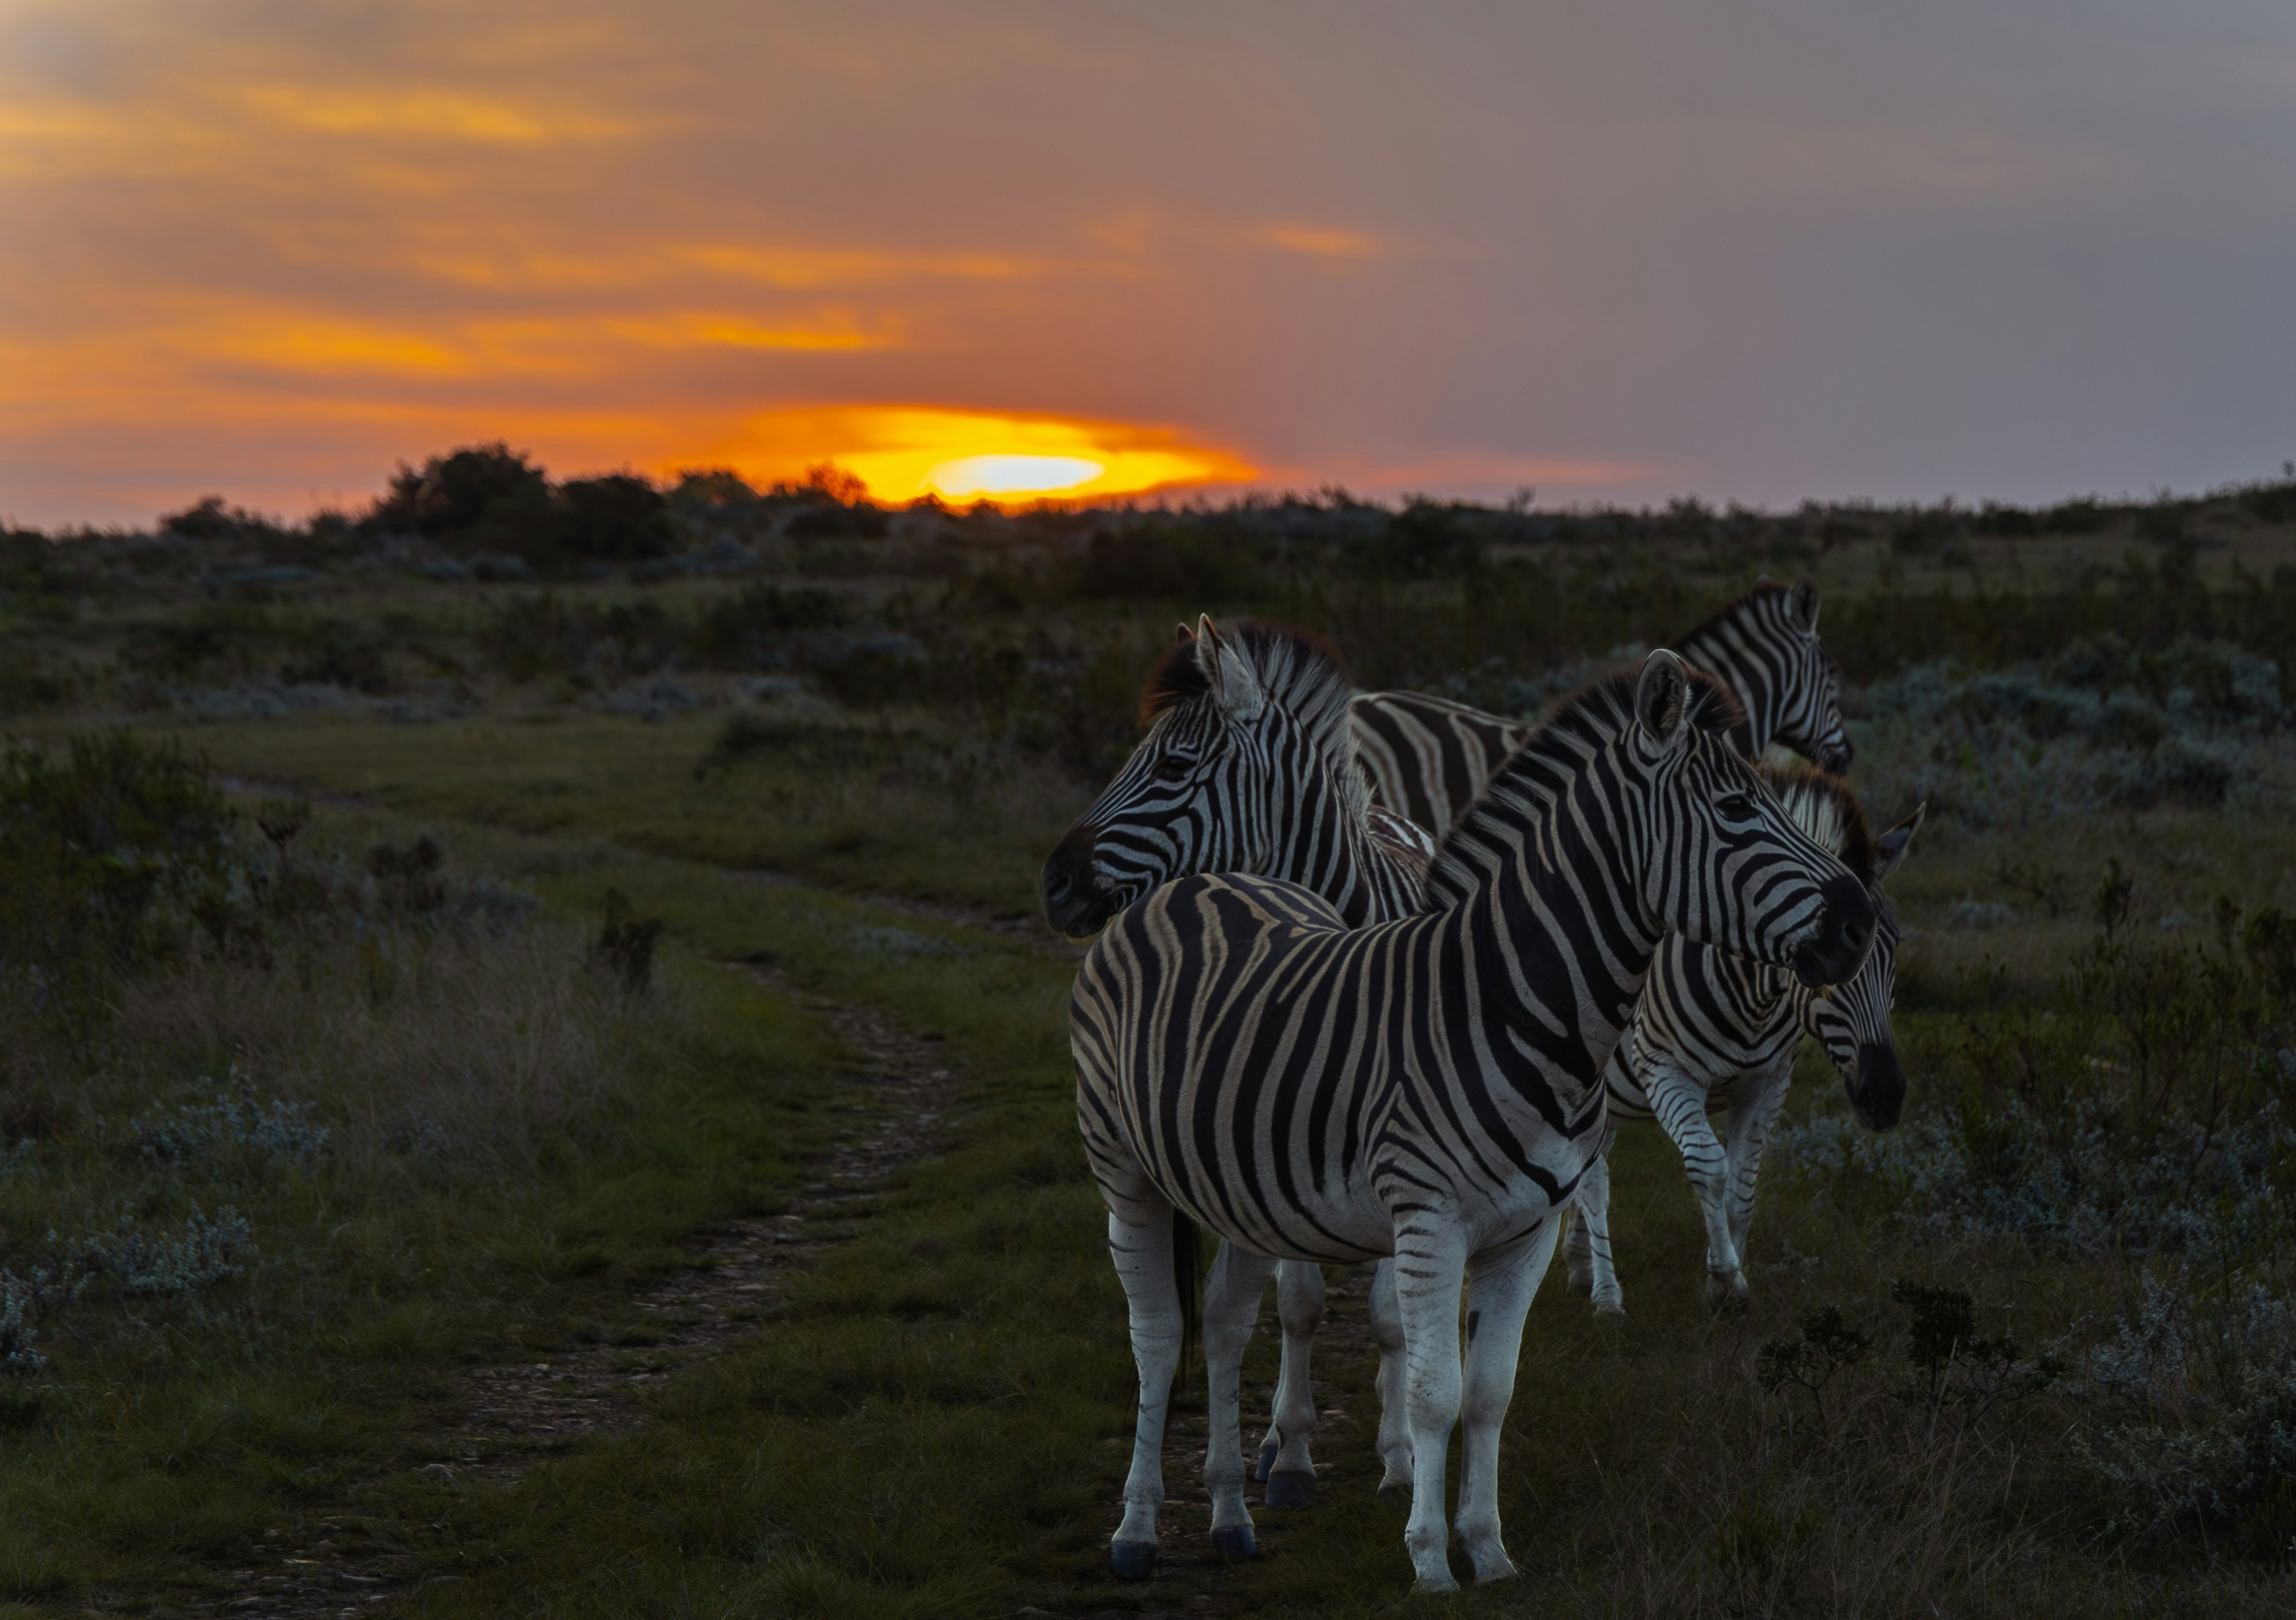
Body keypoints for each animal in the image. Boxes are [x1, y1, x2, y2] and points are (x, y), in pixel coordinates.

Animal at [1041, 616, 1431, 1515]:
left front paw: (1399, 1454)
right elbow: (1299, 1304)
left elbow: (1392, 1314)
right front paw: (1288, 1453)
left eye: (1174, 767)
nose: (1055, 882)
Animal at [1070, 651, 1876, 1590]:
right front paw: (1427, 1560)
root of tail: (1199, 877)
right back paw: (1136, 1530)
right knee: (1159, 1336)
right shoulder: (1428, 1221)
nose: (1858, 920)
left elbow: (1489, 1392)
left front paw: (1487, 1551)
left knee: (1227, 1321)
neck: (1506, 1003)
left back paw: (1233, 1515)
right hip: (1122, 1167)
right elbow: (1434, 1390)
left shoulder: (1525, 1232)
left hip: (1237, 1185)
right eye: (1738, 808)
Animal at [1564, 767, 1924, 1315]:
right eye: (1838, 947)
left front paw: (1732, 1283)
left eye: (1894, 946)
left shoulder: (1768, 1081)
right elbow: (1709, 1167)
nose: (1884, 1096)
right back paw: (1606, 1297)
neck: (1751, 995)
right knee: (1594, 1182)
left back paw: (1582, 1269)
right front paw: (1723, 1277)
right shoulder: (1666, 1071)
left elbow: (1742, 1183)